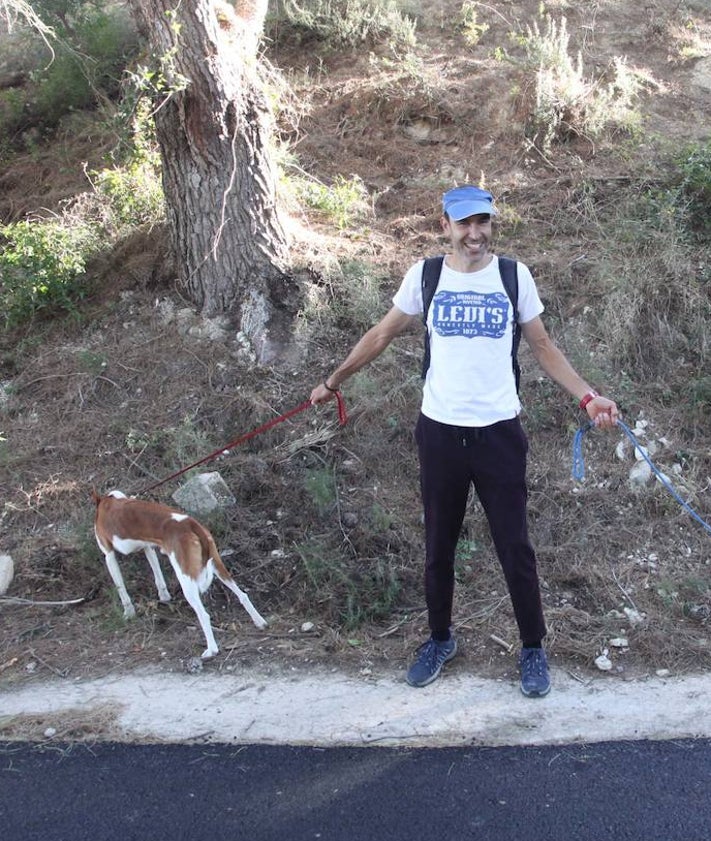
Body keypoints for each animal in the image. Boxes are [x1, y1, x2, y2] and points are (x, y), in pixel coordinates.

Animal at [89, 488, 268, 660]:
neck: (107, 500)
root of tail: (191, 523)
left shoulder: (109, 555)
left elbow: (121, 589)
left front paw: (128, 612)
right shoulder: (148, 548)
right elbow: (158, 575)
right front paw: (164, 596)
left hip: (186, 579)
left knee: (204, 615)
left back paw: (211, 650)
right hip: (218, 565)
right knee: (242, 595)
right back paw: (259, 621)